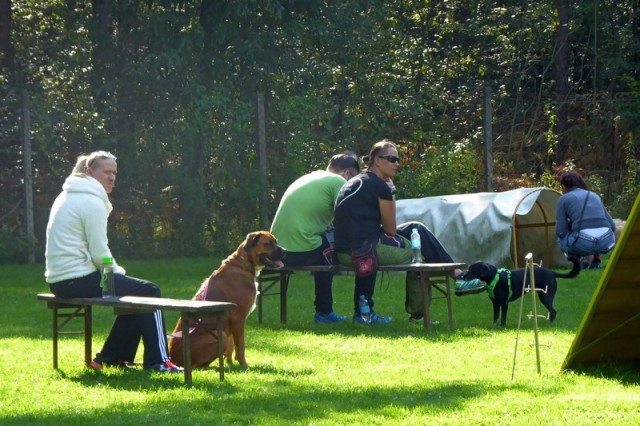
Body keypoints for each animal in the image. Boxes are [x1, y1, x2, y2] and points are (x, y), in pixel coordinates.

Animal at [169, 231, 284, 368]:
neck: (243, 265)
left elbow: (231, 345)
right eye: (268, 244)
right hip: (220, 336)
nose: (285, 251)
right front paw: (243, 365)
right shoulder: (238, 318)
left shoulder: (231, 321)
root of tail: (173, 359)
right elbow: (240, 345)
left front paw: (230, 363)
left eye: (276, 242)